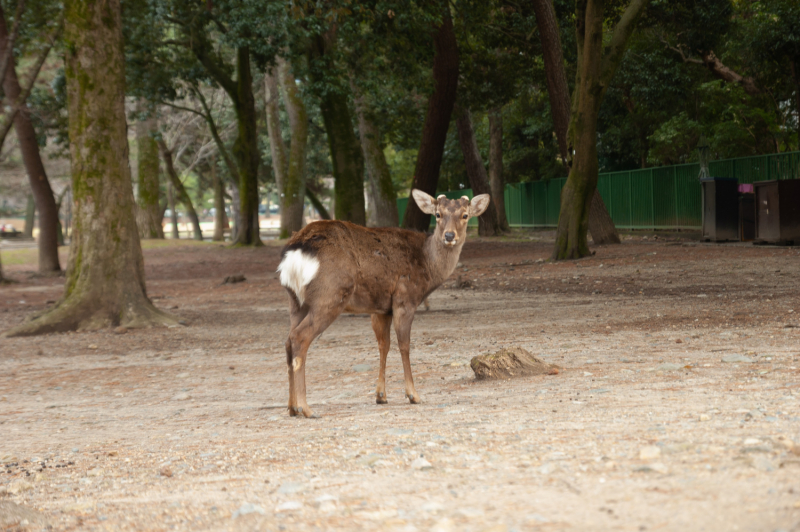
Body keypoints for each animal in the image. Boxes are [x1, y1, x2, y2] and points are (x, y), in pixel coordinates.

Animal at [276, 189, 490, 418]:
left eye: (465, 215)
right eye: (438, 214)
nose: (449, 236)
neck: (428, 266)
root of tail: (296, 253)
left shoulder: (380, 308)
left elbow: (383, 345)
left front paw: (381, 396)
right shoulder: (405, 298)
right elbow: (404, 345)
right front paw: (413, 395)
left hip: (295, 301)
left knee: (288, 340)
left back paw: (291, 407)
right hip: (329, 295)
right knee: (300, 337)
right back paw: (306, 408)